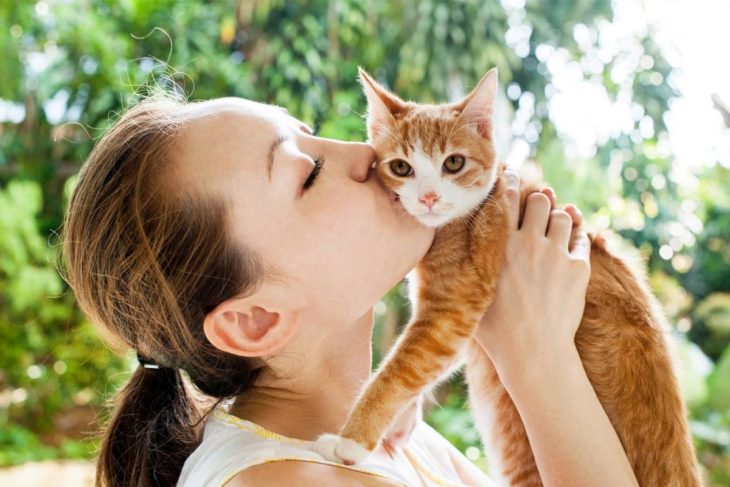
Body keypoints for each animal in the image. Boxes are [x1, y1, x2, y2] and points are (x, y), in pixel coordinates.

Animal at [314, 68, 700, 487]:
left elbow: (401, 370)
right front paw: (400, 422)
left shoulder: (453, 308)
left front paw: (350, 441)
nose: (429, 197)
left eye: (453, 163)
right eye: (401, 167)